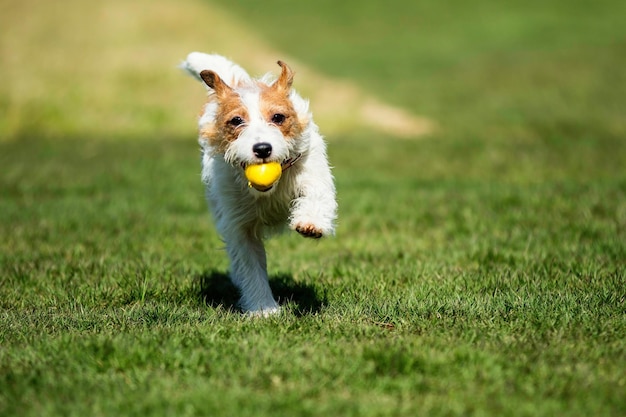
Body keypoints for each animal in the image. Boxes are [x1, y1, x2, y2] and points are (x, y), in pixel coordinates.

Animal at [180, 52, 336, 314]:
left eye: (278, 117)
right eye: (236, 121)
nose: (262, 148)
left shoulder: (311, 172)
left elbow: (316, 195)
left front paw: (311, 223)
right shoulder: (239, 225)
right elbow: (250, 266)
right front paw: (263, 309)